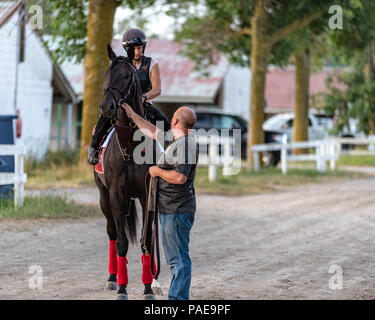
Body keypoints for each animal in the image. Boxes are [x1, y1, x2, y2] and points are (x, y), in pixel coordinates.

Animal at [93, 44, 162, 300]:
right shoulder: (116, 195)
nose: (107, 107)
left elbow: (147, 241)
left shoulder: (146, 195)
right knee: (112, 233)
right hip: (103, 196)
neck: (131, 145)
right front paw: (122, 288)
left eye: (125, 76)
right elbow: (122, 242)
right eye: (106, 75)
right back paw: (112, 279)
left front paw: (148, 288)